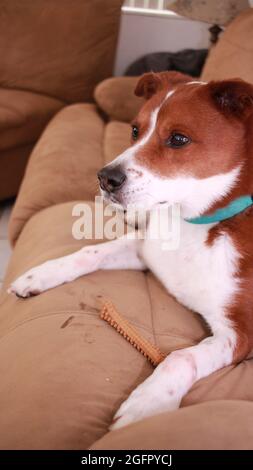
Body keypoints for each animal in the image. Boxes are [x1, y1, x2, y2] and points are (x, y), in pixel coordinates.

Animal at [7, 70, 253, 430]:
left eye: (178, 139)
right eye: (135, 130)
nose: (104, 178)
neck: (194, 223)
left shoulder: (241, 333)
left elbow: (181, 358)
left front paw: (147, 403)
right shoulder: (146, 251)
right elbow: (90, 253)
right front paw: (42, 274)